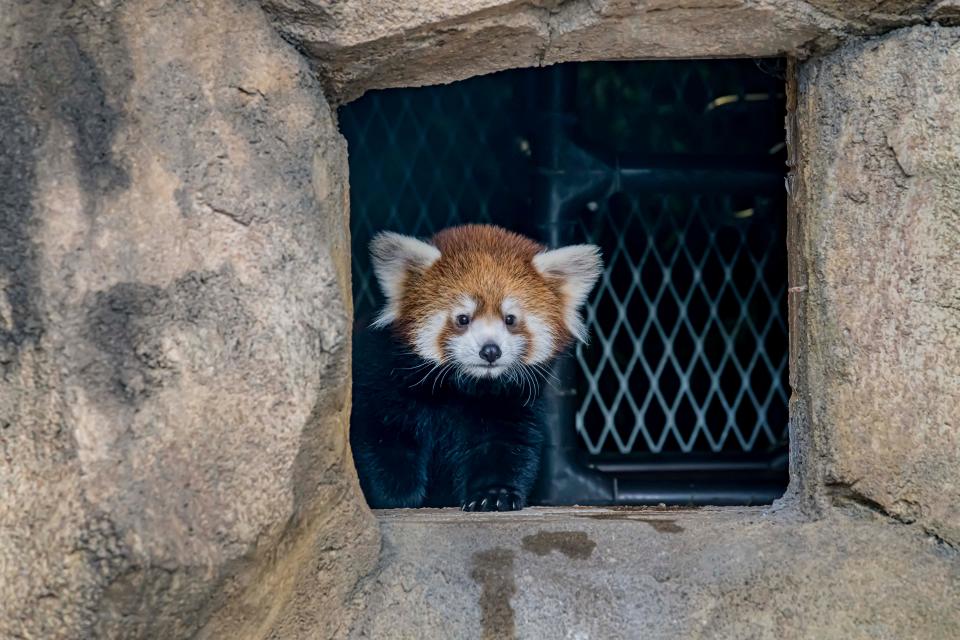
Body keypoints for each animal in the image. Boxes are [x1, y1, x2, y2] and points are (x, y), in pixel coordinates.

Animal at [348, 224, 600, 510]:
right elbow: (383, 437)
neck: (460, 388)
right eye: (462, 319)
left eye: (510, 319)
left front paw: (495, 494)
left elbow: (502, 445)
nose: (490, 350)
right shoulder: (381, 377)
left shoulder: (509, 403)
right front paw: (395, 497)